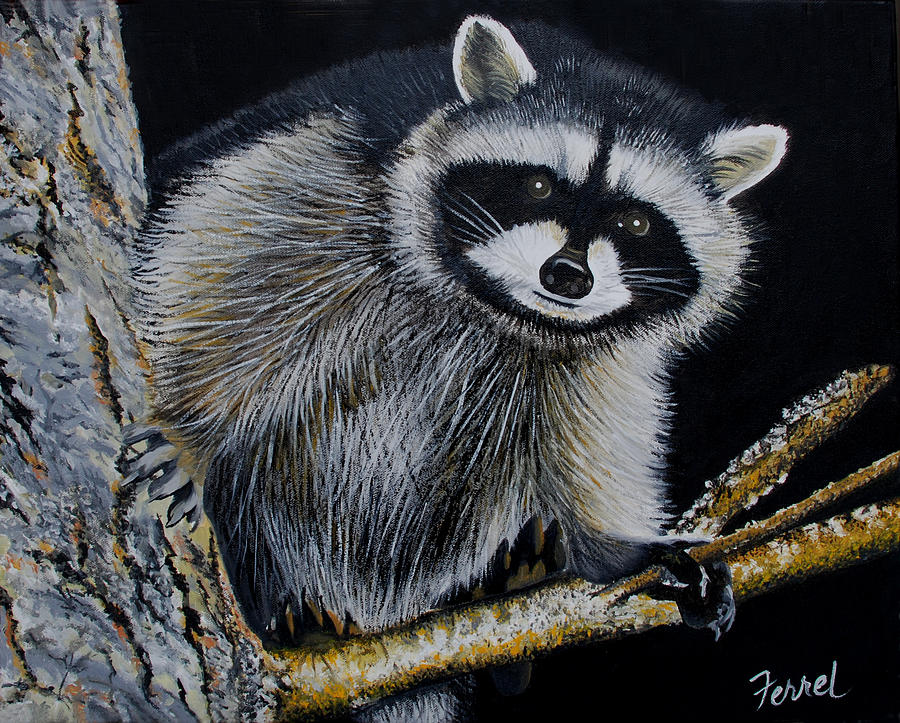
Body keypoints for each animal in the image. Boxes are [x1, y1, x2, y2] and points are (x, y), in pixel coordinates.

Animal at [130, 14, 787, 719]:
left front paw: (619, 548)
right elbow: (220, 274)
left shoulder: (592, 350)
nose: (568, 276)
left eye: (635, 221)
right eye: (536, 185)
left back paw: (517, 571)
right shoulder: (324, 166)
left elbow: (593, 423)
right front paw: (192, 428)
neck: (496, 309)